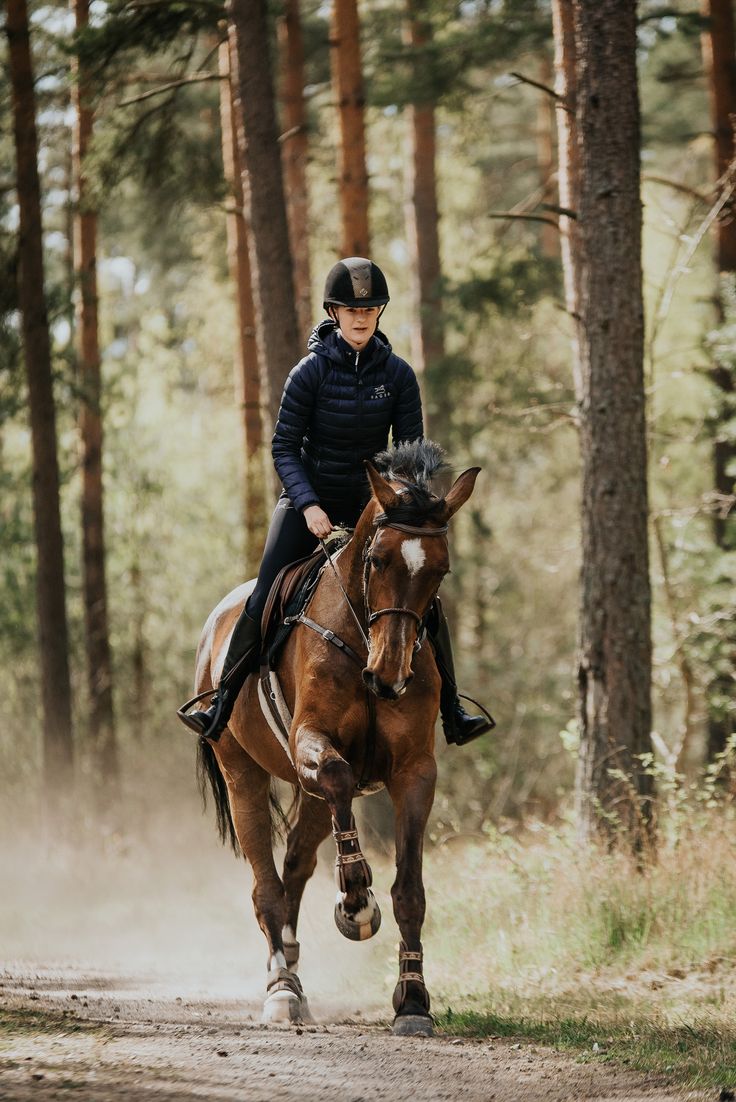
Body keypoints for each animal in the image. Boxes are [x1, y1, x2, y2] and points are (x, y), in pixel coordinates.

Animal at [192, 438, 480, 1031]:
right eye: (377, 559)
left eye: (440, 571)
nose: (389, 675)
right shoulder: (311, 741)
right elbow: (338, 772)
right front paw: (355, 902)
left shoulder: (415, 771)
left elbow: (410, 890)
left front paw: (413, 1000)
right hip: (241, 771)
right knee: (267, 885)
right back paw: (281, 988)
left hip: (305, 796)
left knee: (295, 868)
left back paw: (293, 965)